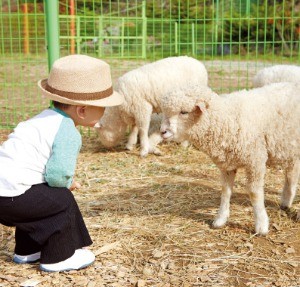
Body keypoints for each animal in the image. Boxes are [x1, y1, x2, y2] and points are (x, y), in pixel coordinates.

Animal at [159, 82, 300, 235]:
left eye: (184, 112)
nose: (162, 132)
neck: (227, 118)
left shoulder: (255, 160)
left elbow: (254, 193)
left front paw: (261, 224)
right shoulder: (227, 164)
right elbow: (225, 191)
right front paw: (220, 219)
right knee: (292, 174)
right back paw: (286, 201)